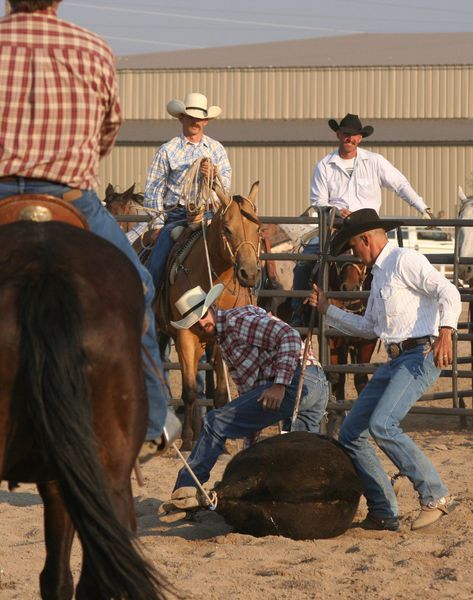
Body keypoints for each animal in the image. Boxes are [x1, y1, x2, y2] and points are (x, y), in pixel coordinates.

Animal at [156, 183, 262, 450]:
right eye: (227, 229)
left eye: (258, 228)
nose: (249, 274)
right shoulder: (184, 336)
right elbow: (190, 391)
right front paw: (186, 439)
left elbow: (220, 393)